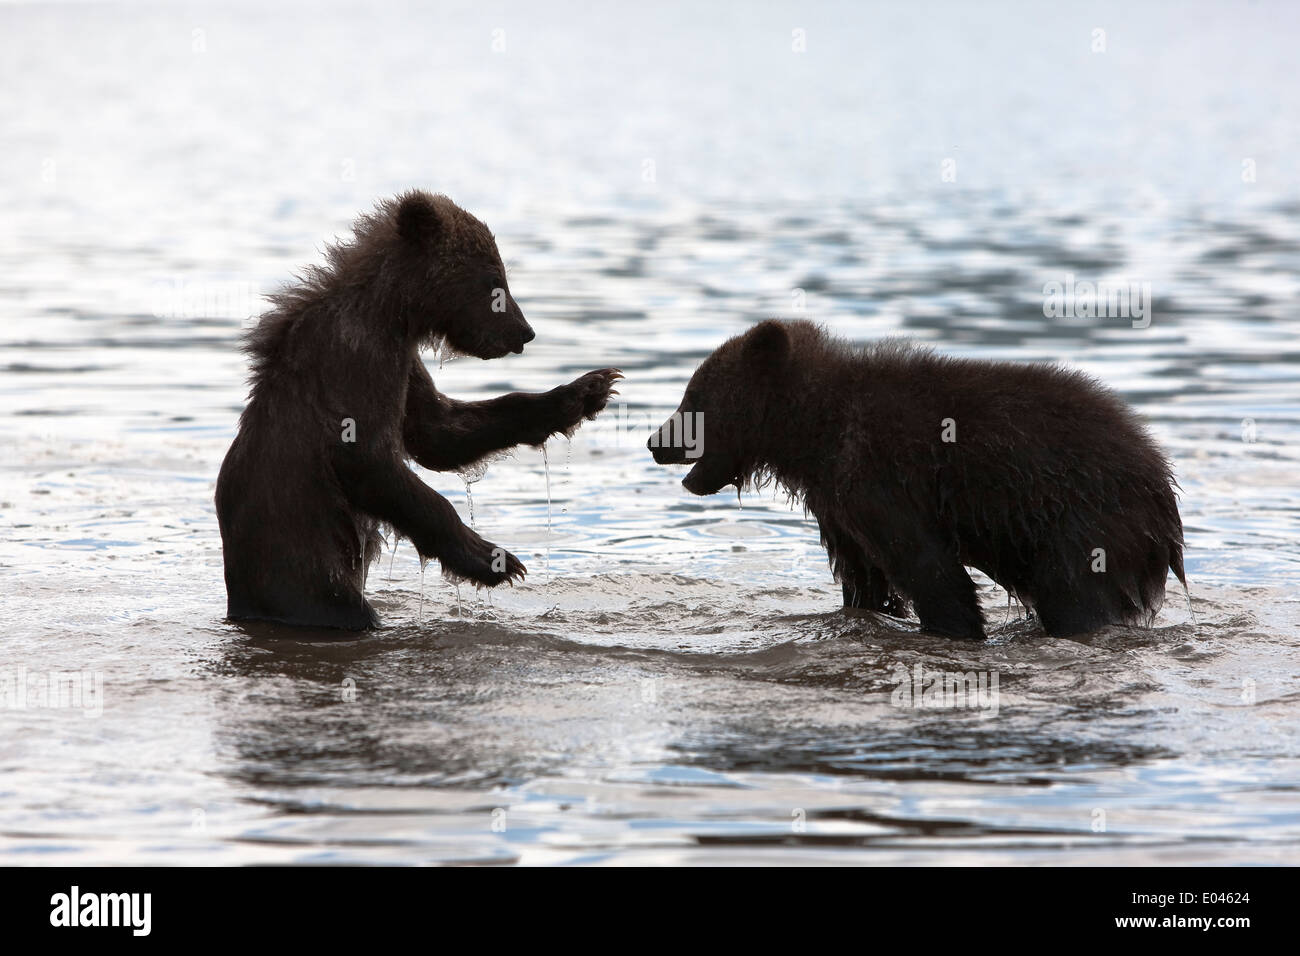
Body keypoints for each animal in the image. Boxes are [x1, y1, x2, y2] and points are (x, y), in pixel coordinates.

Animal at [216, 190, 622, 630]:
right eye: (495, 281)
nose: (525, 332)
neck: (393, 313)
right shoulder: (354, 360)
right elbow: (368, 458)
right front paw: (493, 560)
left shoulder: (406, 364)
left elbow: (439, 431)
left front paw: (588, 390)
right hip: (307, 574)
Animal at [648, 319, 1185, 640]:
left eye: (693, 395)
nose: (657, 441)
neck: (813, 431)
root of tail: (1158, 471)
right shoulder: (839, 506)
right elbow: (864, 578)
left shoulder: (879, 479)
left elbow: (930, 569)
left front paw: (956, 626)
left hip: (1085, 521)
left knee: (1074, 596)